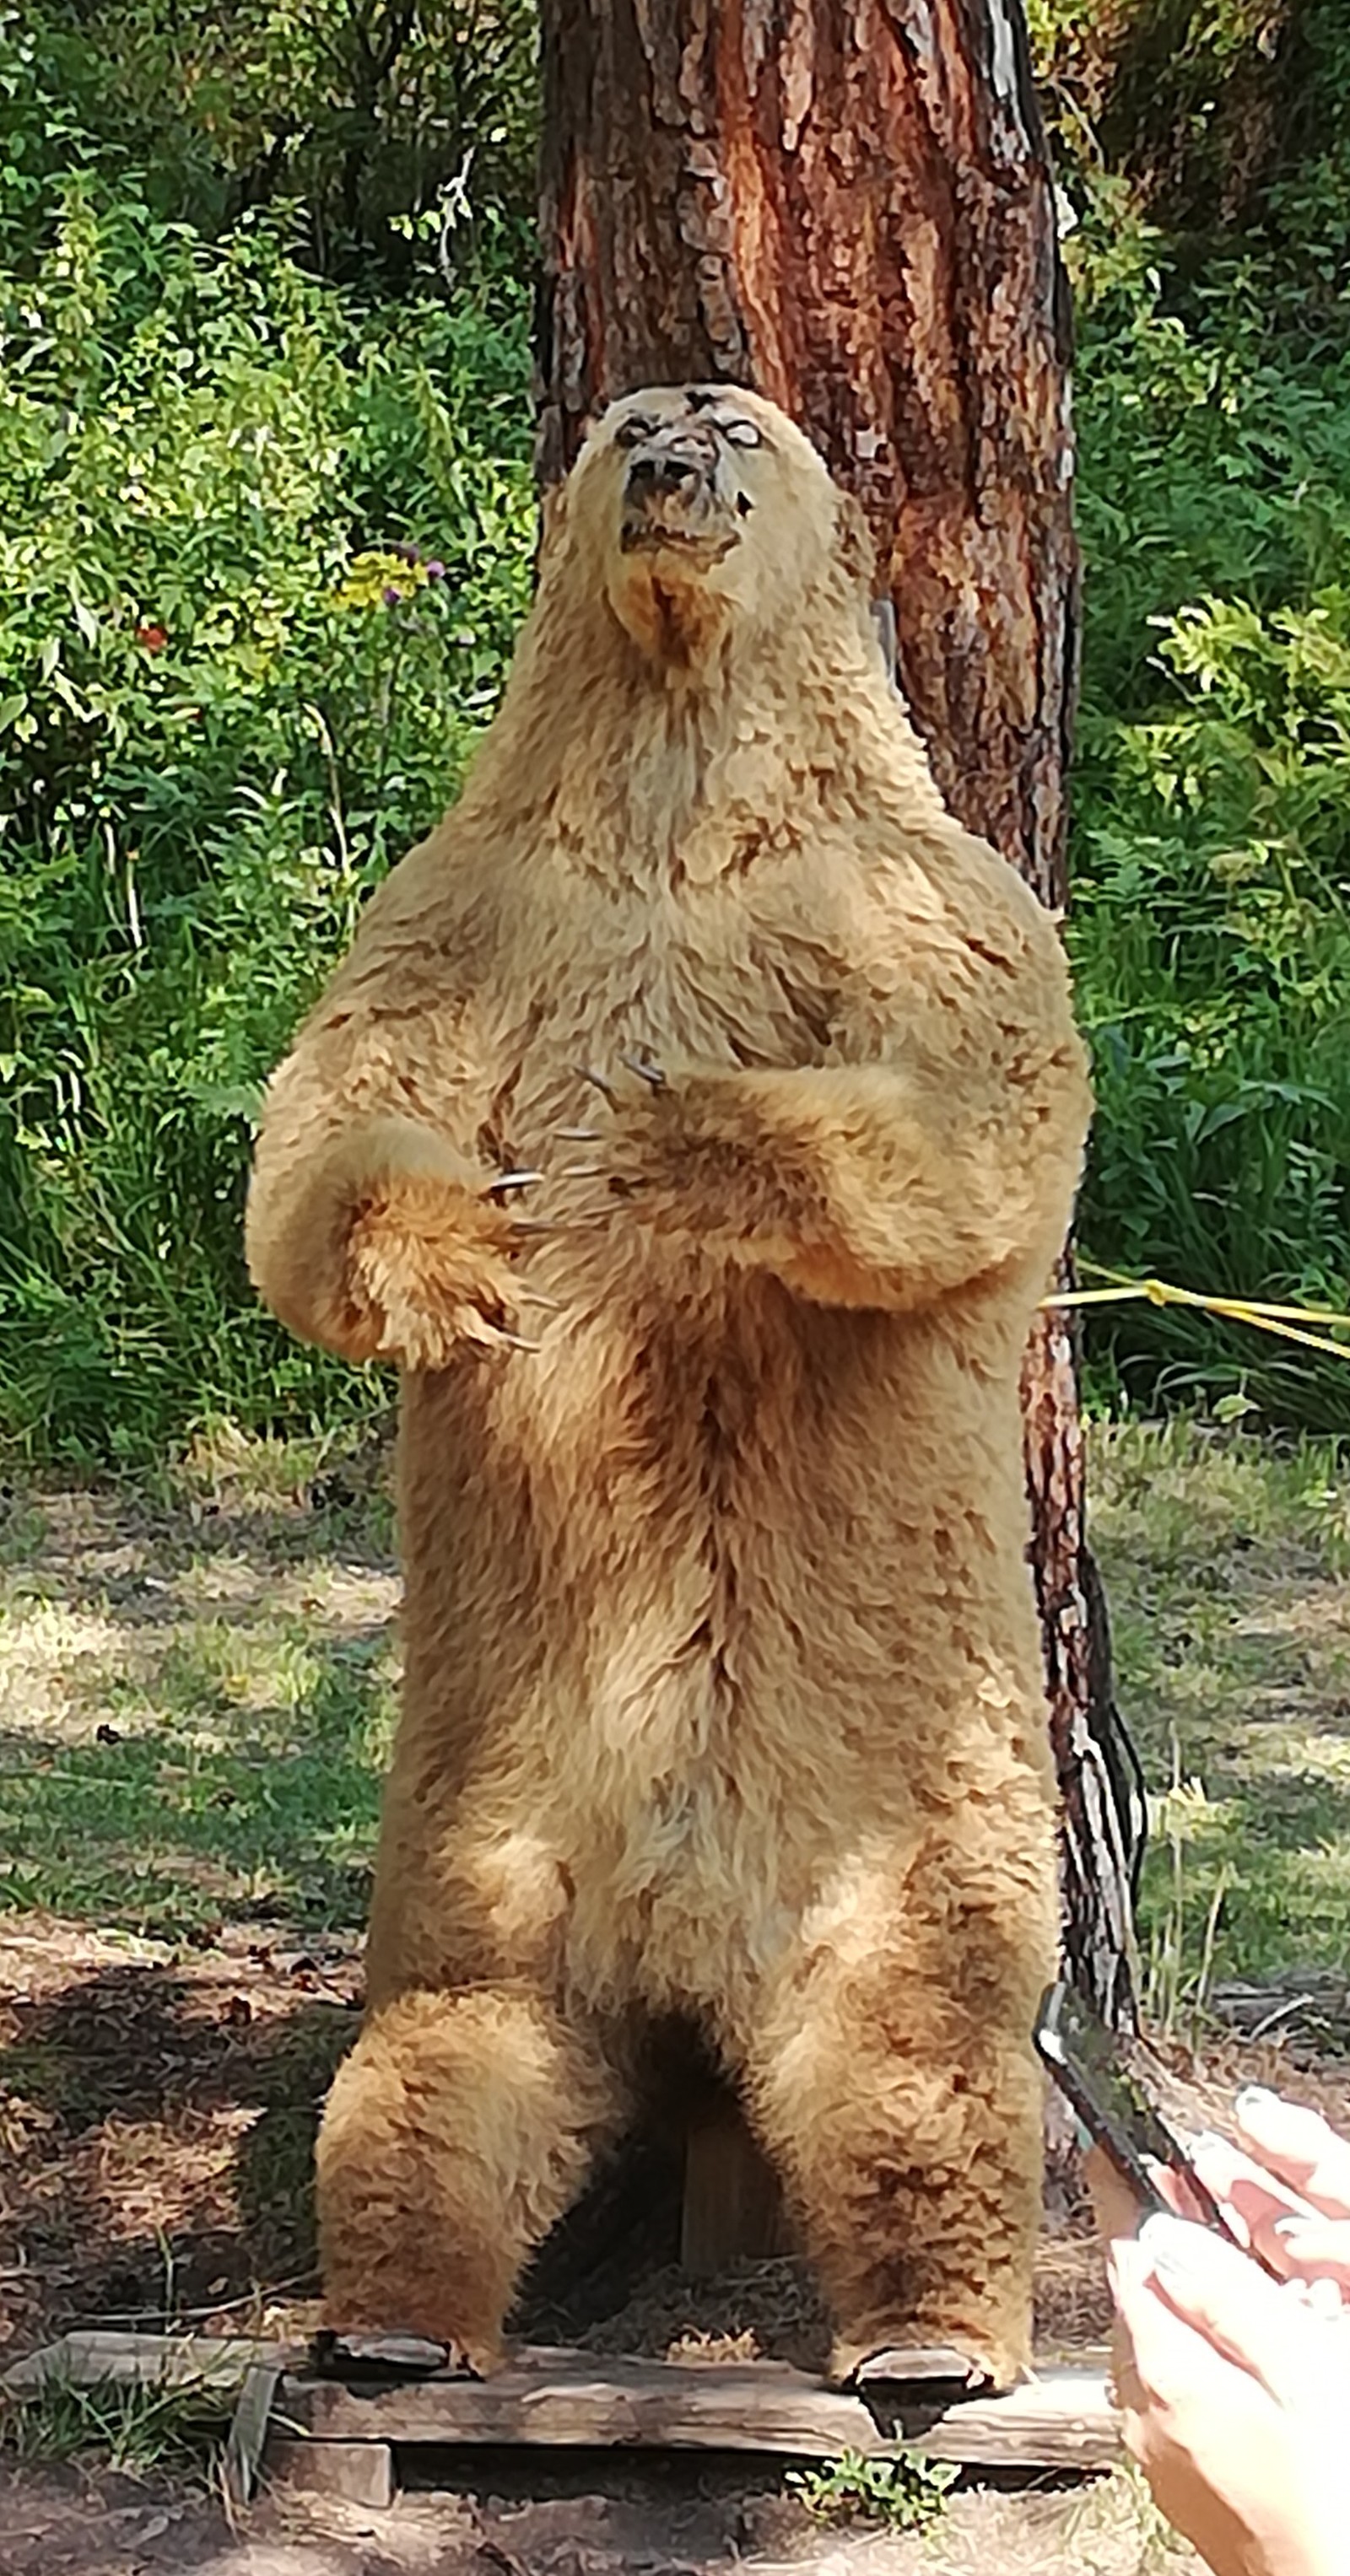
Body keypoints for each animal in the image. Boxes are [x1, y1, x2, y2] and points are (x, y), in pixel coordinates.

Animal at [247, 386, 1092, 2390]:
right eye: (632, 420)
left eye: (735, 428)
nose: (662, 470)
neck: (676, 793)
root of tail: (688, 1933)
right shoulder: (470, 907)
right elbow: (330, 1115)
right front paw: (466, 1253)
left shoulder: (917, 903)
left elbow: (983, 1111)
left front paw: (680, 1143)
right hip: (479, 1811)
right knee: (451, 2037)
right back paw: (396, 2316)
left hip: (909, 1794)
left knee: (922, 2037)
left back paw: (931, 2336)